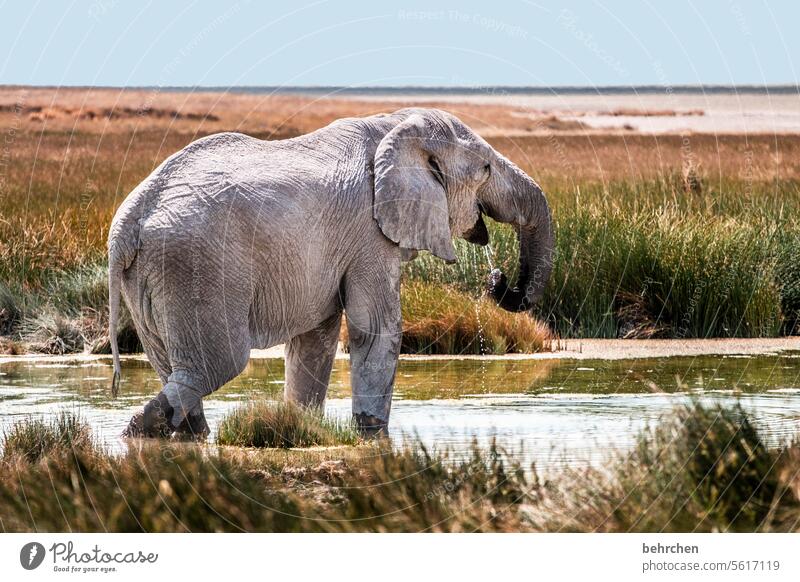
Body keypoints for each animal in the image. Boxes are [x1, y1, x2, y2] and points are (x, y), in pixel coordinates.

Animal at [109, 107, 552, 440]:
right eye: (486, 169)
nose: (498, 281)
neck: (394, 125)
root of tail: (127, 224)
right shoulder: (368, 234)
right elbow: (377, 329)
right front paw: (372, 436)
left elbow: (315, 340)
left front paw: (300, 425)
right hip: (195, 267)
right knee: (217, 364)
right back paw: (142, 433)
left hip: (153, 274)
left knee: (173, 366)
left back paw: (183, 436)